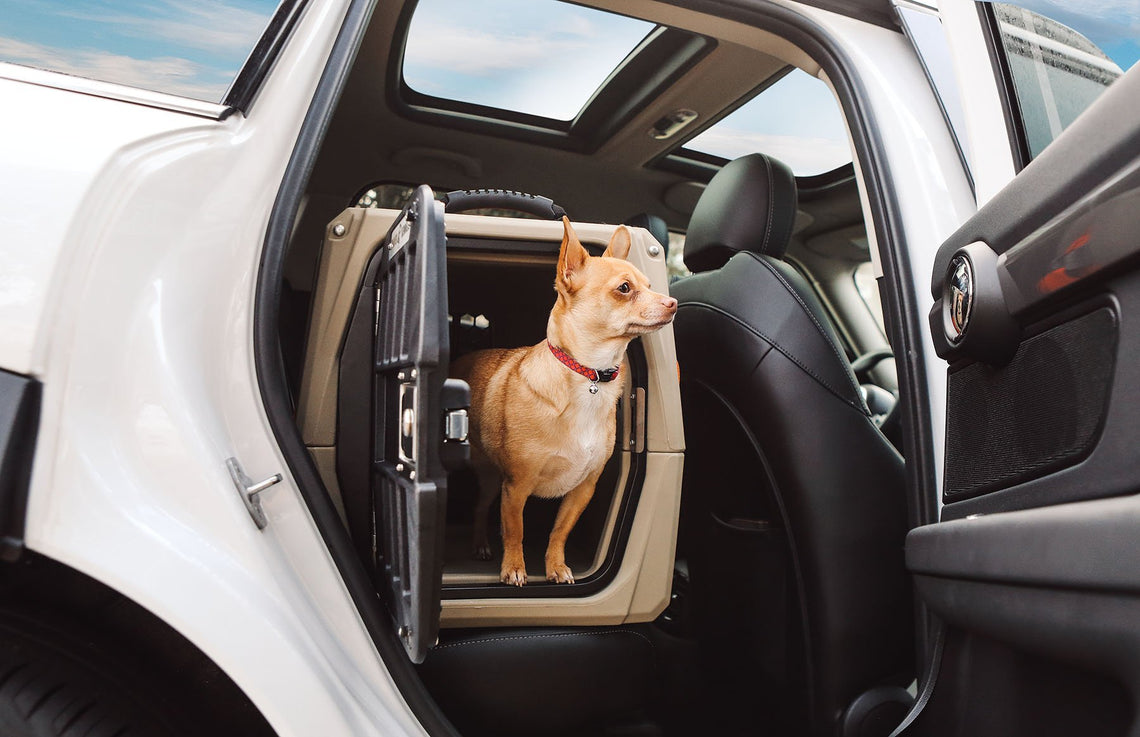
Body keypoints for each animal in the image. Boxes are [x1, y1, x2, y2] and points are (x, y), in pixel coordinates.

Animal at [446, 216, 674, 584]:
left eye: (651, 285)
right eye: (625, 288)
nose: (673, 303)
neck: (589, 377)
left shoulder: (583, 489)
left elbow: (559, 531)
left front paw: (555, 566)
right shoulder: (517, 487)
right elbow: (516, 530)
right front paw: (515, 568)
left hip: (495, 479)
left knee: (483, 509)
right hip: (485, 476)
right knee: (480, 509)